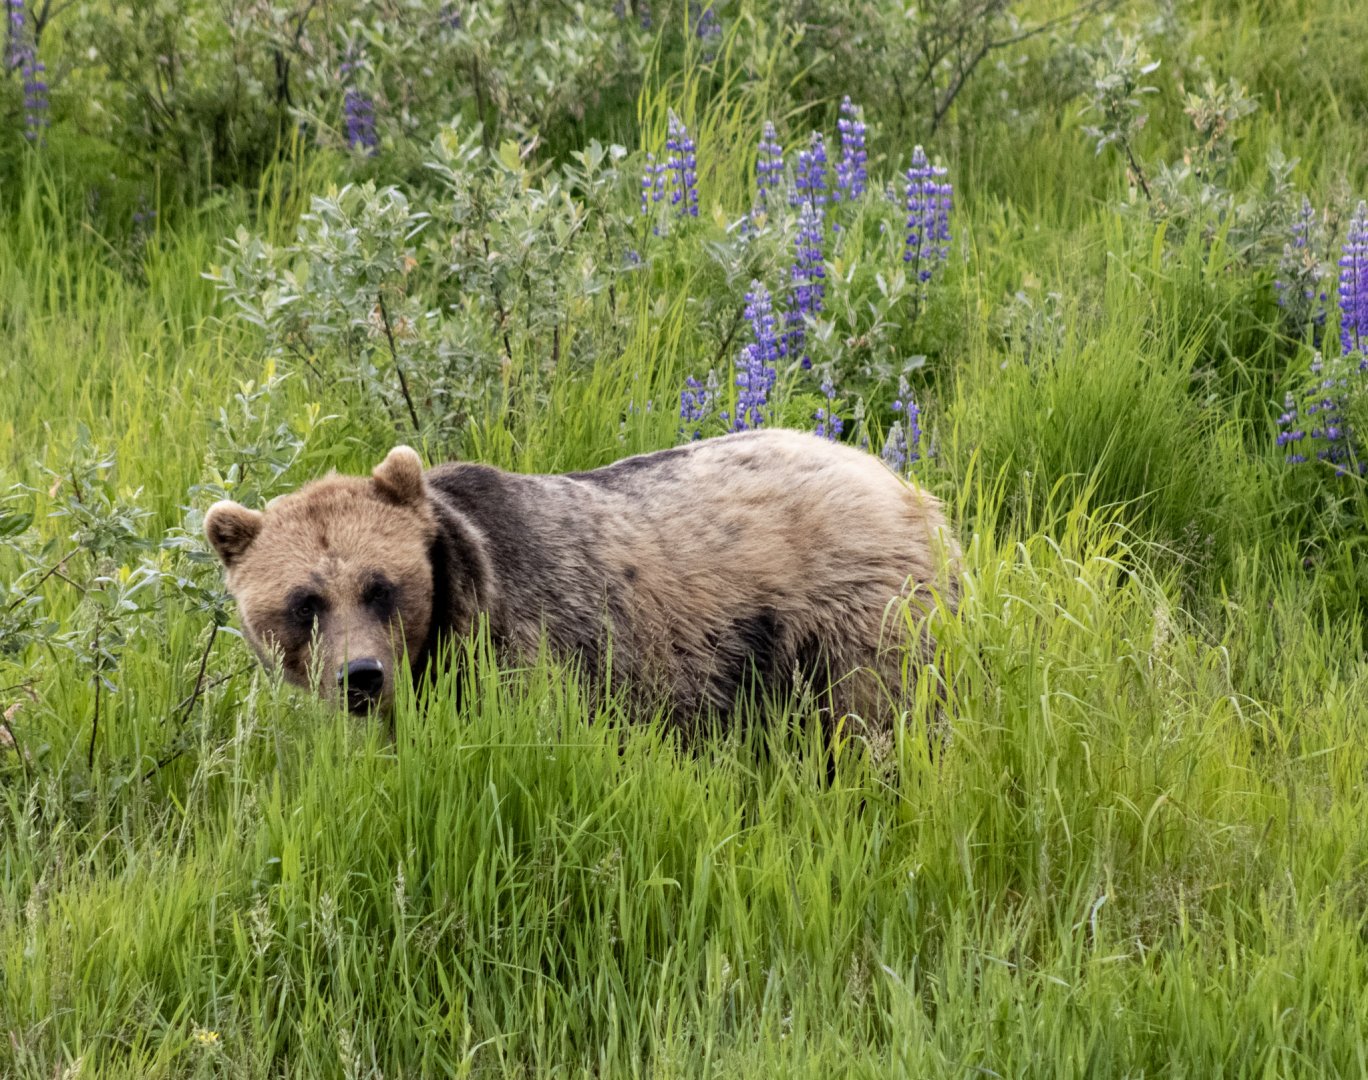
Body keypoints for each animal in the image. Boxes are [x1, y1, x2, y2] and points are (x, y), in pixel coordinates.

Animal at [202, 429, 959, 731]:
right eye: (304, 601)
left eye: (380, 585)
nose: (360, 677)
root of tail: (905, 485)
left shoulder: (533, 648)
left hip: (857, 613)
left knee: (878, 714)